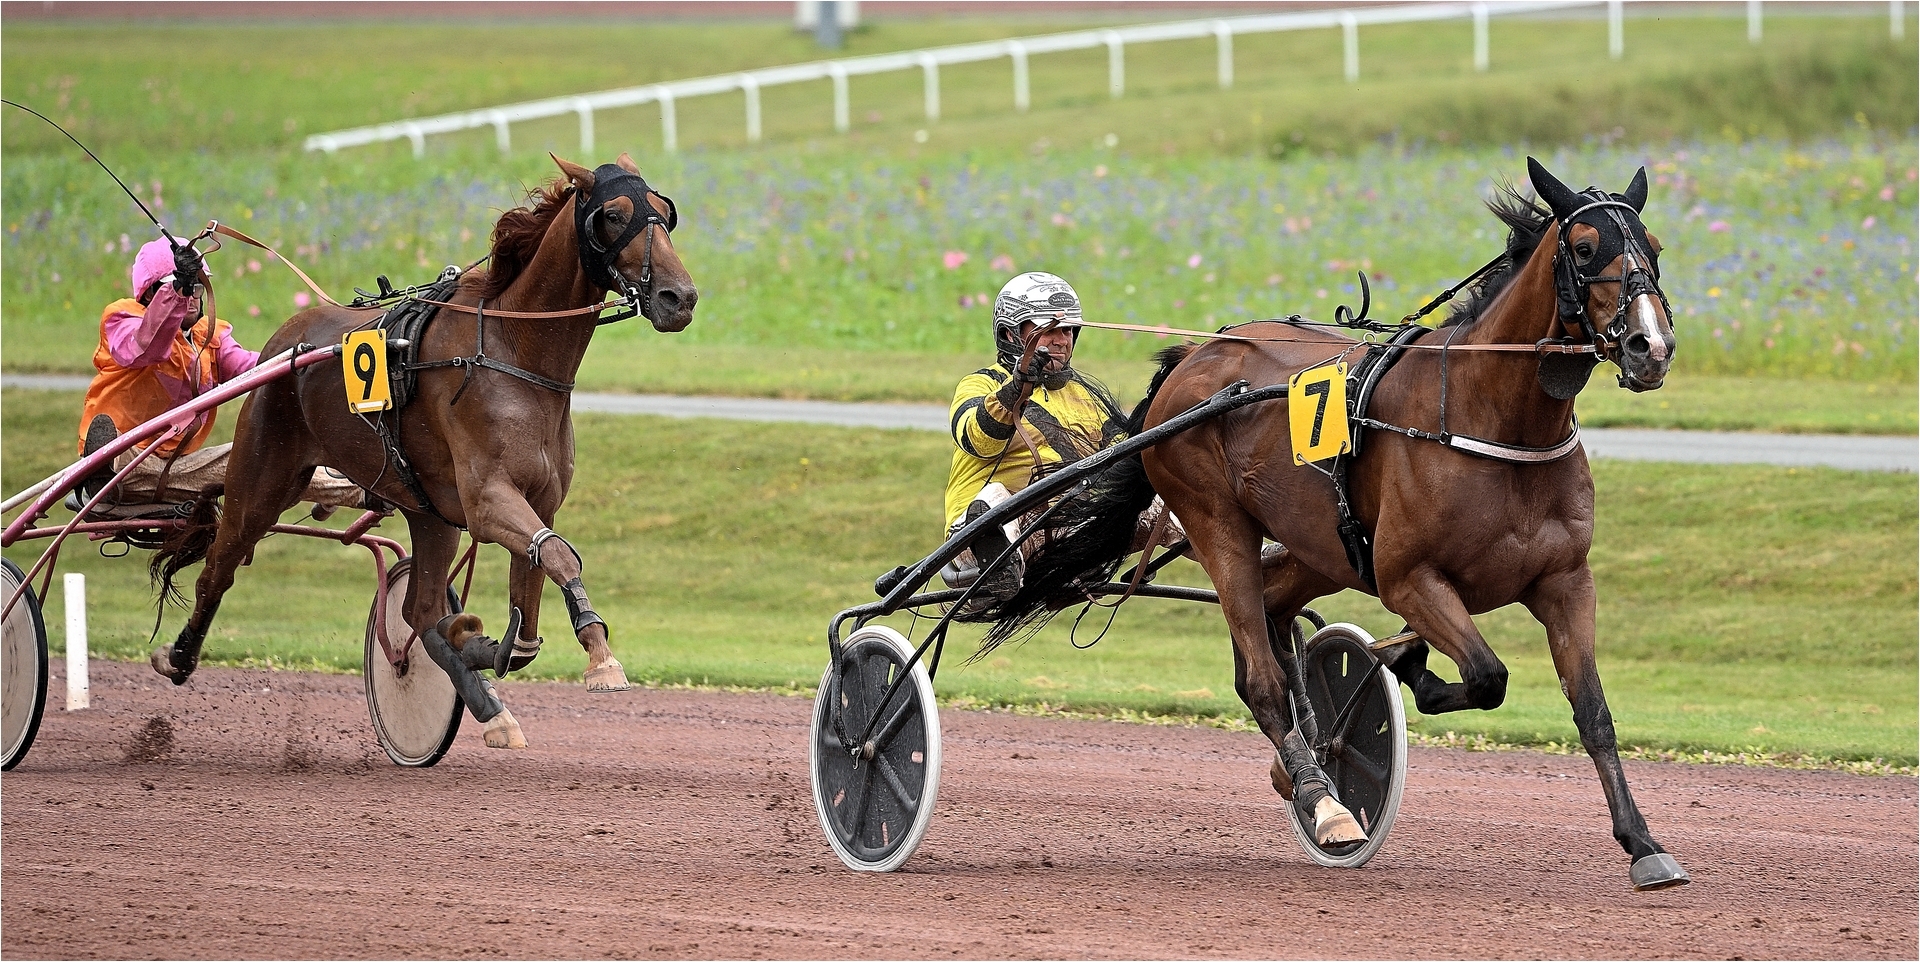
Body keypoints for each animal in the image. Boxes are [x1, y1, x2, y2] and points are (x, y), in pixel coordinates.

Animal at [149, 153, 697, 748]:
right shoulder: (487, 500)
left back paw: (485, 700)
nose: (679, 298)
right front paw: (599, 658)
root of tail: (284, 342)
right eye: (614, 215)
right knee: (218, 569)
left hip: (429, 512)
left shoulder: (538, 503)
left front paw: (489, 646)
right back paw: (179, 656)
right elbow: (557, 556)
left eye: (664, 211)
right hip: (261, 480)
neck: (513, 356)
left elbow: (529, 609)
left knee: (419, 609)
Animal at [987, 158, 1688, 890]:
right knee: (1260, 676)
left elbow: (1594, 713)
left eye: (1656, 247)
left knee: (1273, 615)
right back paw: (1323, 800)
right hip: (1217, 522)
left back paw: (1305, 759)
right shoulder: (1407, 578)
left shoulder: (1565, 582)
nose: (1651, 345)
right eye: (1583, 248)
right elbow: (1486, 675)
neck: (1485, 417)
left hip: (1315, 546)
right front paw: (1406, 665)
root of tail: (1194, 359)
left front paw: (1643, 843)